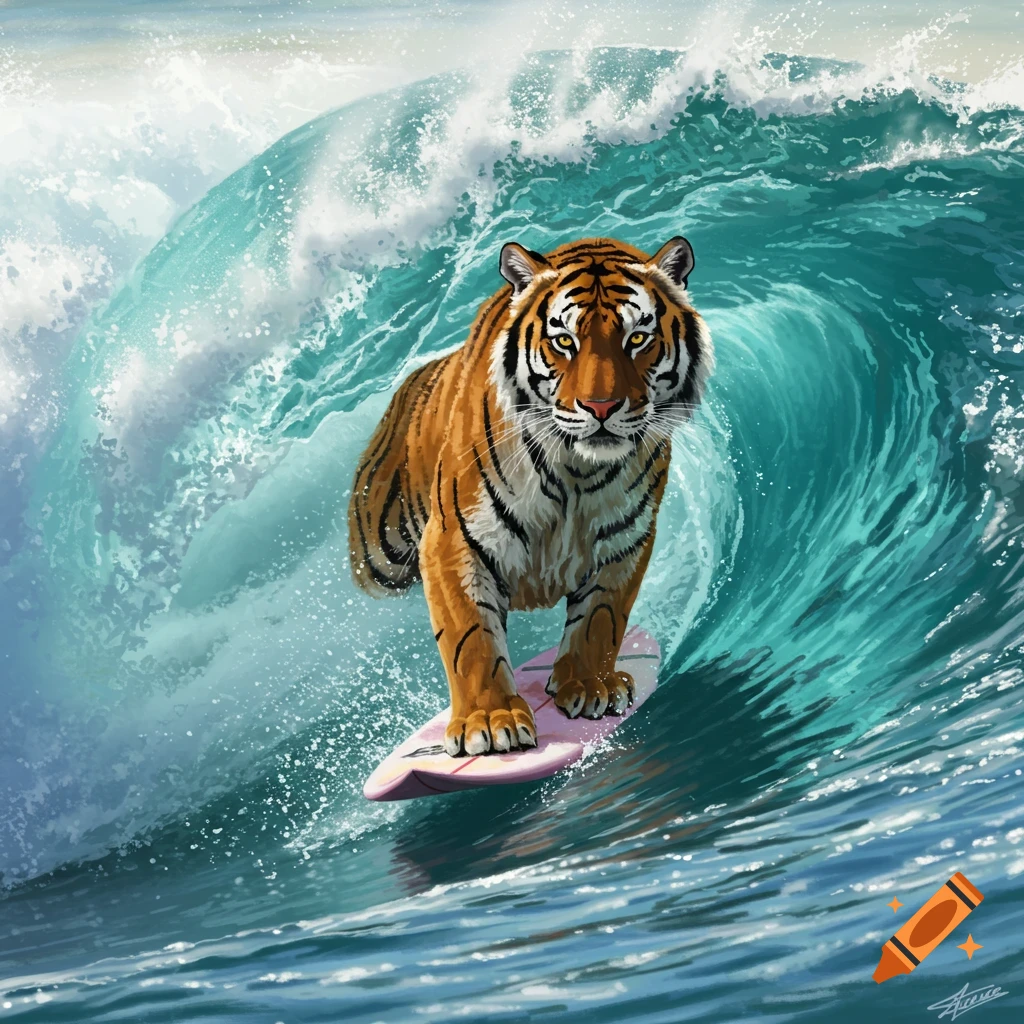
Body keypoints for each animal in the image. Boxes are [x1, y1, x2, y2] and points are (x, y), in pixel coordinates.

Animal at [348, 236, 713, 757]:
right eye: (564, 341)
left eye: (637, 338)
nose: (601, 407)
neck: (577, 471)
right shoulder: (452, 541)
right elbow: (470, 637)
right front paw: (487, 722)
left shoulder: (625, 540)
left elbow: (602, 619)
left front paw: (590, 687)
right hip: (382, 557)